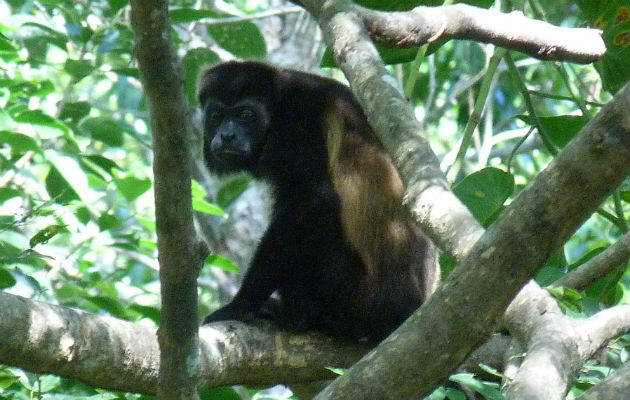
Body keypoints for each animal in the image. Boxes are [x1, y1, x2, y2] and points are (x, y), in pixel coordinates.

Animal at [200, 61, 436, 342]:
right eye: (216, 115)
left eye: (245, 115)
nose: (226, 135)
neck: (279, 105)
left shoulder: (300, 125)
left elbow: (316, 201)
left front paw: (241, 306)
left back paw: (297, 316)